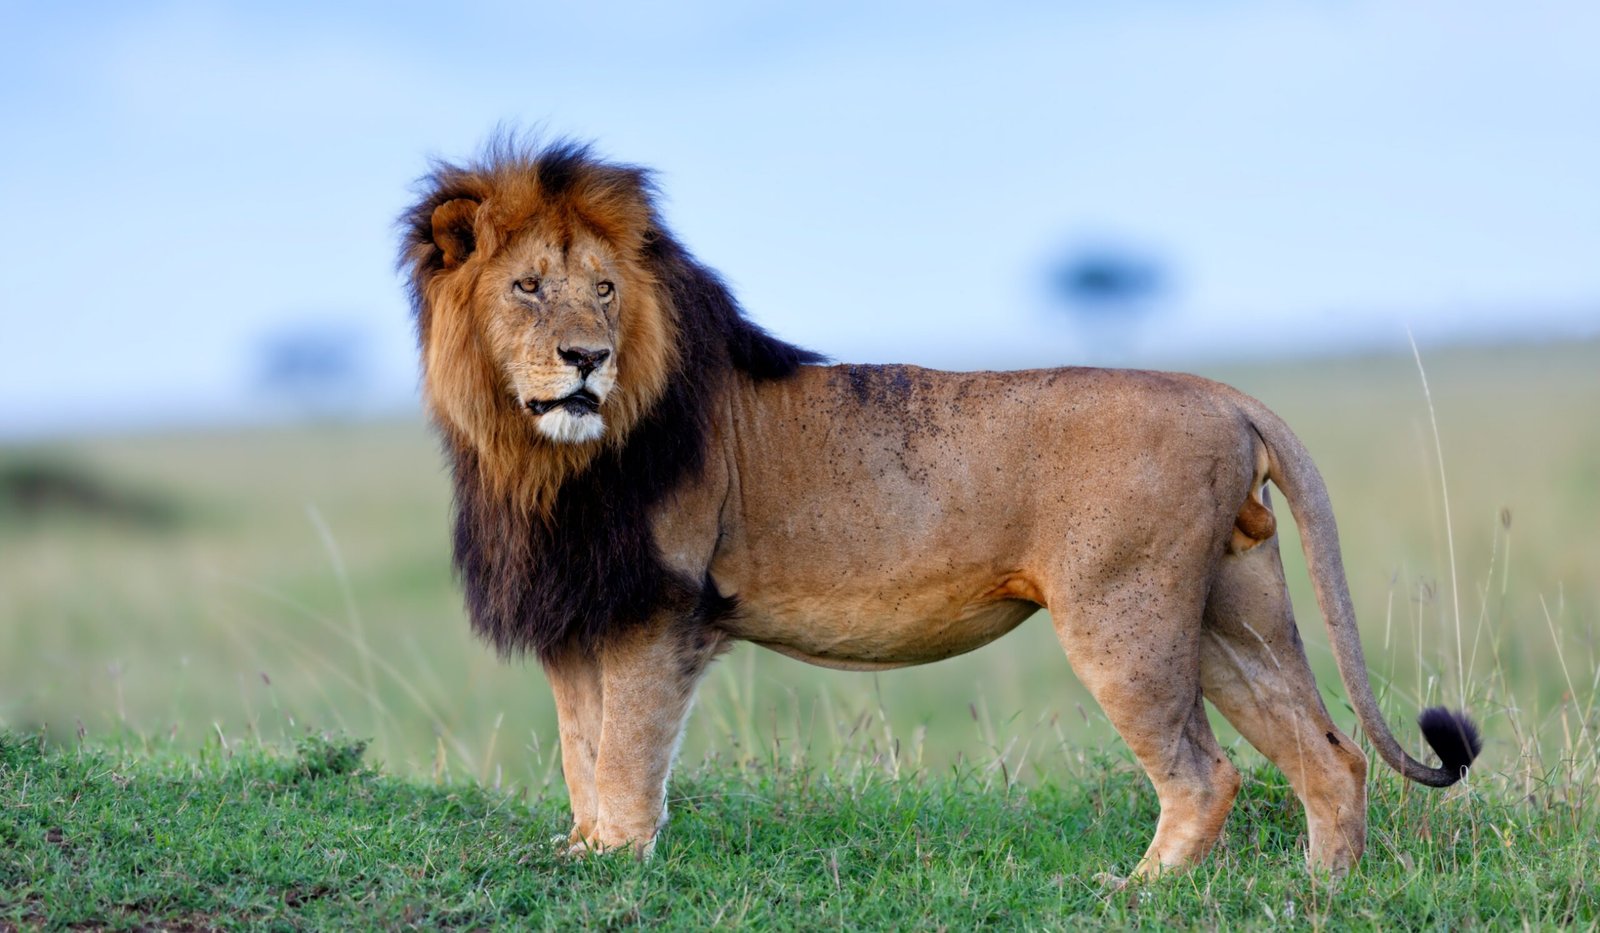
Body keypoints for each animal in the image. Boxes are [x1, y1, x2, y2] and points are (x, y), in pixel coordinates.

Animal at [399, 138, 1481, 878]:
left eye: (605, 291)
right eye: (528, 287)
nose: (586, 358)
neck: (534, 459)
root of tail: (1221, 392)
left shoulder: (656, 609)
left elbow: (623, 751)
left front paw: (618, 864)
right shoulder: (579, 612)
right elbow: (581, 748)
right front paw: (579, 852)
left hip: (1122, 612)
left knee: (1207, 772)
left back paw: (1141, 891)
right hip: (1227, 609)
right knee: (1330, 756)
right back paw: (1317, 890)